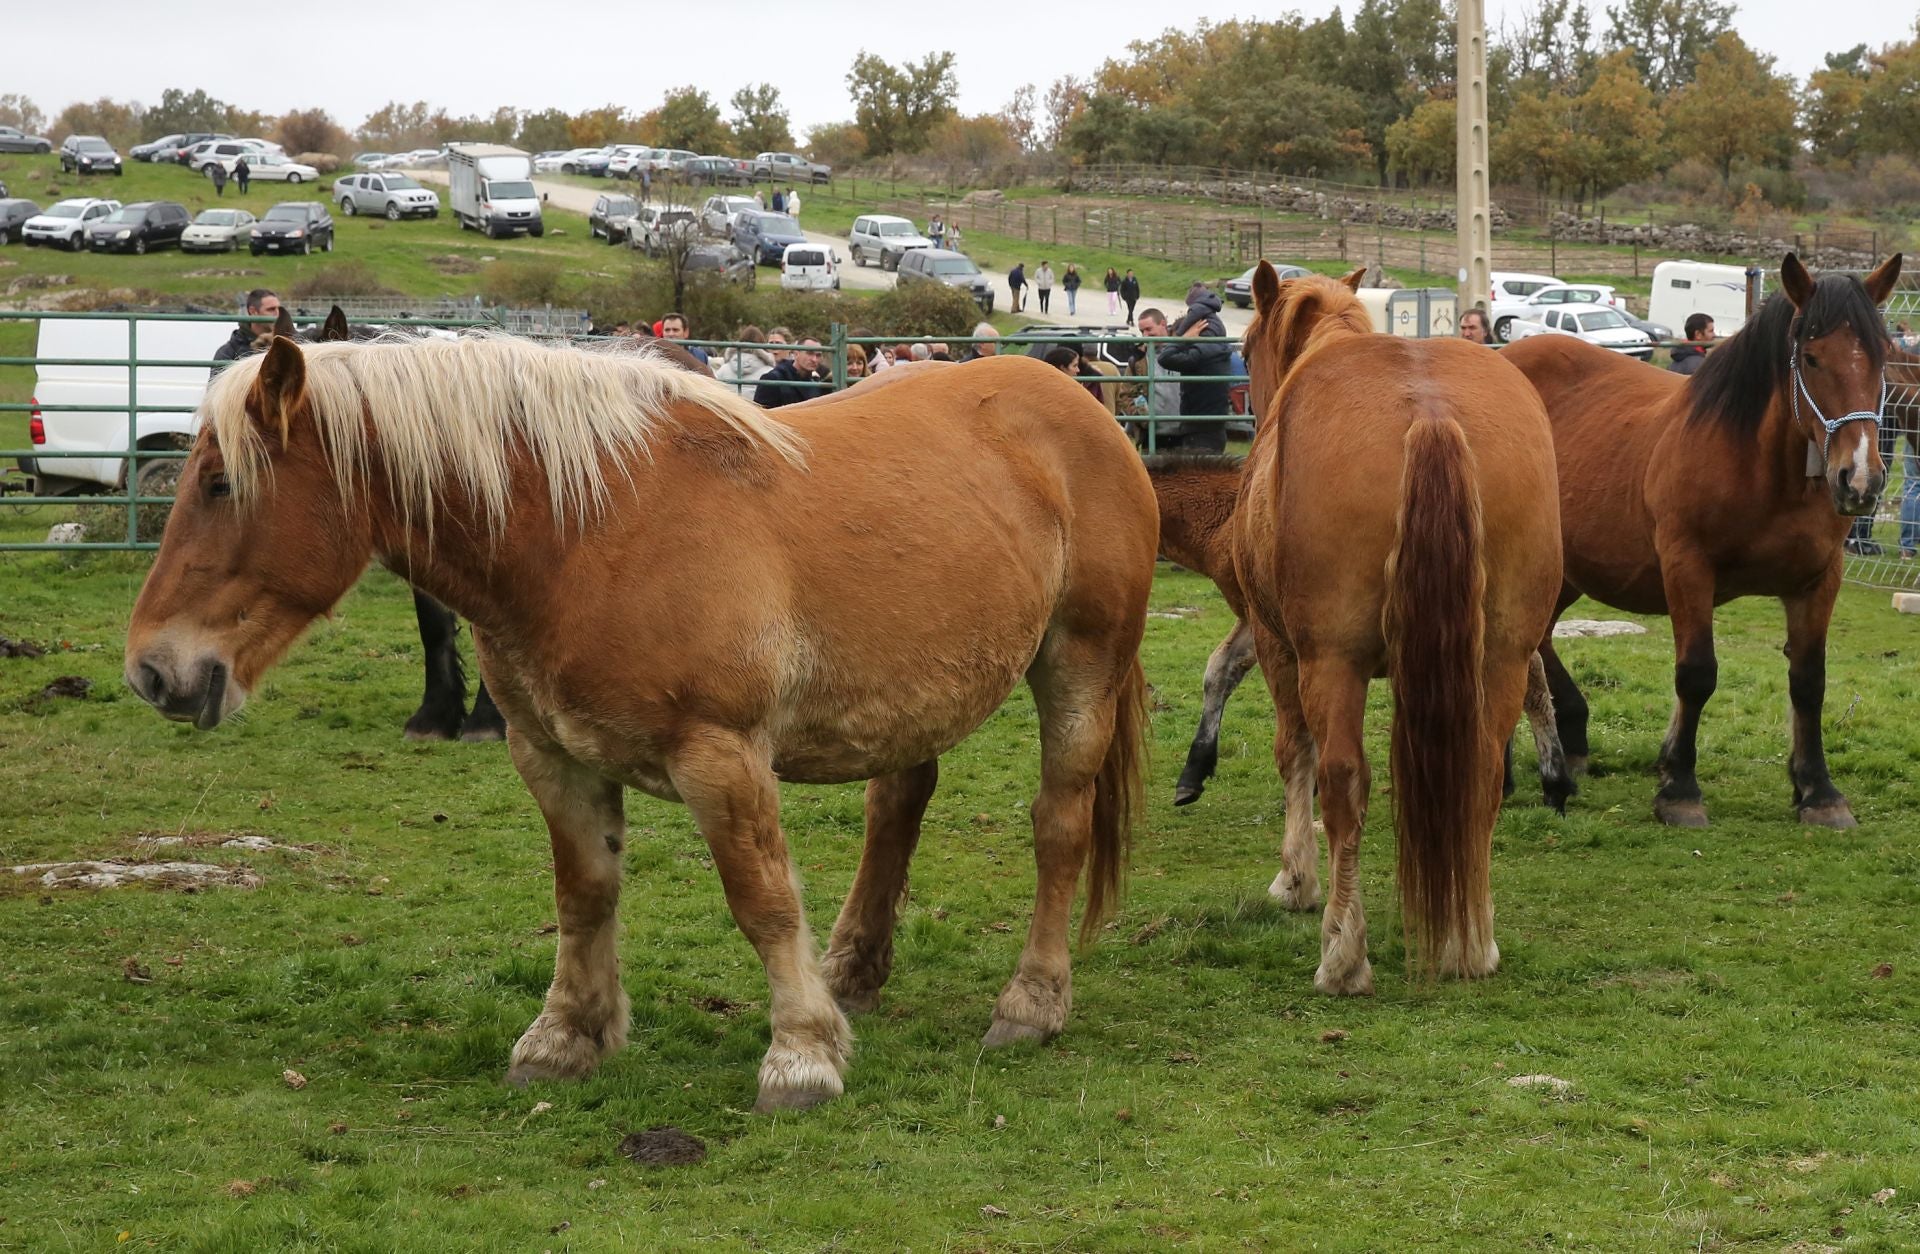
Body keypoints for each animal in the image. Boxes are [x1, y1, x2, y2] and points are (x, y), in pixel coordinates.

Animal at [135, 332, 1159, 1106]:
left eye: (220, 483)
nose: (153, 670)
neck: (585, 531)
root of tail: (1080, 403)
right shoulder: (552, 757)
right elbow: (584, 896)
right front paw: (565, 1037)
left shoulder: (722, 758)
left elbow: (762, 900)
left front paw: (801, 1054)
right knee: (898, 805)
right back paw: (853, 972)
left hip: (1079, 664)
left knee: (1059, 826)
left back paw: (1031, 1003)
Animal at [1228, 265, 1559, 990]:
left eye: (1242, 347)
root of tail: (1430, 413)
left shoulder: (1277, 647)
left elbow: (1295, 755)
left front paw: (1296, 880)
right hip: (1500, 659)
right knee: (1481, 774)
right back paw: (1472, 943)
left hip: (1334, 661)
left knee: (1343, 779)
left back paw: (1343, 955)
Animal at [1512, 249, 1904, 825]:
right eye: (1811, 358)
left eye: (1882, 359)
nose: (1860, 480)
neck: (1764, 473)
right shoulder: (1687, 568)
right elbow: (1696, 674)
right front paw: (1680, 788)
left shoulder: (1818, 579)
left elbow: (1809, 680)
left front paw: (1818, 790)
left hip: (1567, 571)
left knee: (1539, 638)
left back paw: (1573, 736)